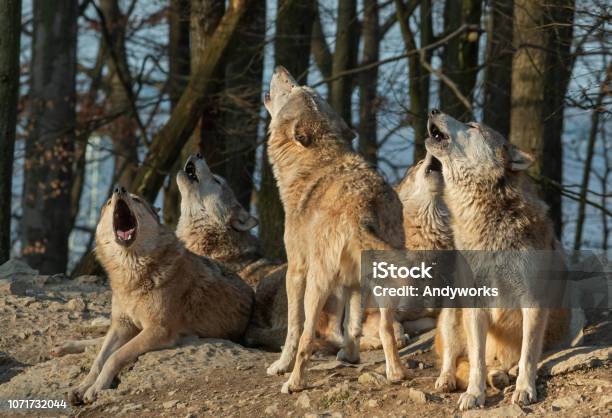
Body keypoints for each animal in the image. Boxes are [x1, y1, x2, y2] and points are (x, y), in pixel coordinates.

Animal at [68, 188, 255, 404]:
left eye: (136, 199)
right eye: (108, 203)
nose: (119, 189)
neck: (132, 272)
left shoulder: (158, 330)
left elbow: (115, 357)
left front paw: (96, 388)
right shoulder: (122, 325)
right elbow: (99, 359)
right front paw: (83, 386)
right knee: (98, 342)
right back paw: (65, 346)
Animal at [426, 109, 568, 410]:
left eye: (471, 126)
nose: (434, 110)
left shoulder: (533, 303)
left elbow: (528, 356)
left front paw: (525, 389)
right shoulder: (475, 304)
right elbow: (476, 362)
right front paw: (474, 394)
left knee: (510, 363)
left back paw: (504, 375)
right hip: (452, 309)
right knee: (454, 357)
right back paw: (448, 380)